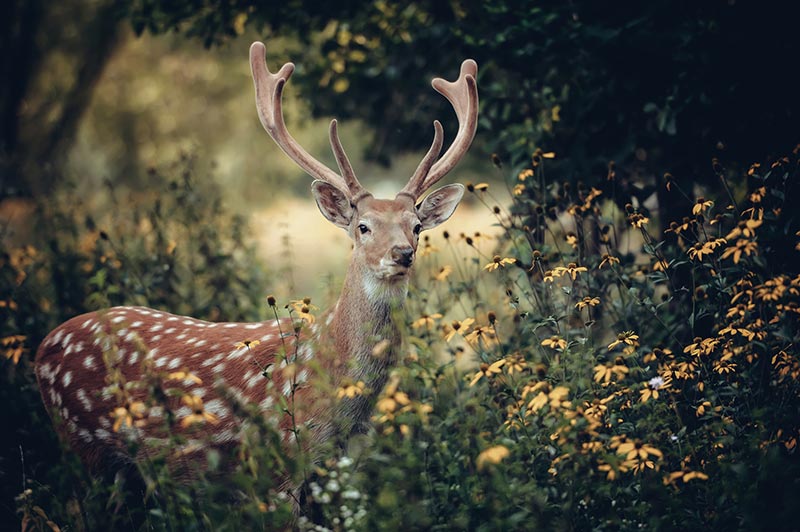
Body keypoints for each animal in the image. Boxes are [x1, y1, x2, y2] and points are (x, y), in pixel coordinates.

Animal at [34, 42, 478, 486]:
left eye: (417, 226)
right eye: (363, 226)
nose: (402, 253)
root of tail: (42, 348)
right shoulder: (282, 458)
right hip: (82, 443)